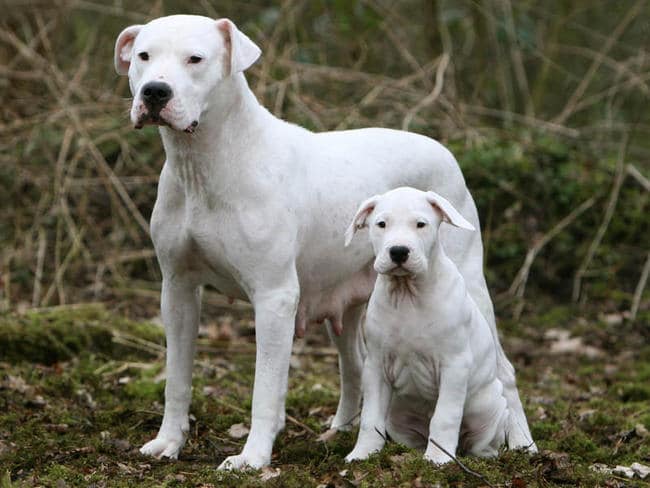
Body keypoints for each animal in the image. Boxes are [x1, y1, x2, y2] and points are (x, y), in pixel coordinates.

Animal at [342, 188, 536, 466]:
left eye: (420, 224)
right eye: (381, 224)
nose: (398, 252)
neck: (408, 295)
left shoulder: (454, 366)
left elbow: (445, 417)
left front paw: (438, 459)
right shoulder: (376, 367)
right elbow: (370, 418)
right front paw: (363, 454)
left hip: (486, 407)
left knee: (483, 441)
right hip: (399, 418)